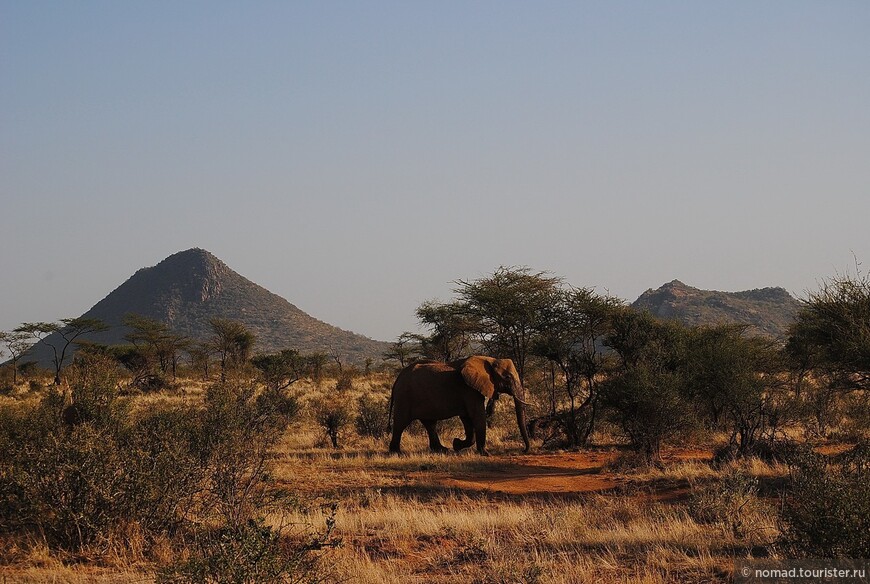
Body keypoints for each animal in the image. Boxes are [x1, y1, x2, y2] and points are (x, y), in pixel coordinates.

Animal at [390, 356, 532, 456]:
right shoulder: (469, 389)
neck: (490, 360)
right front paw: (485, 454)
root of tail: (397, 379)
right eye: (507, 377)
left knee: (430, 424)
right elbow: (477, 416)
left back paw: (442, 450)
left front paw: (456, 444)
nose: (524, 450)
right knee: (400, 423)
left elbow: (467, 419)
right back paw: (396, 453)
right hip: (404, 397)